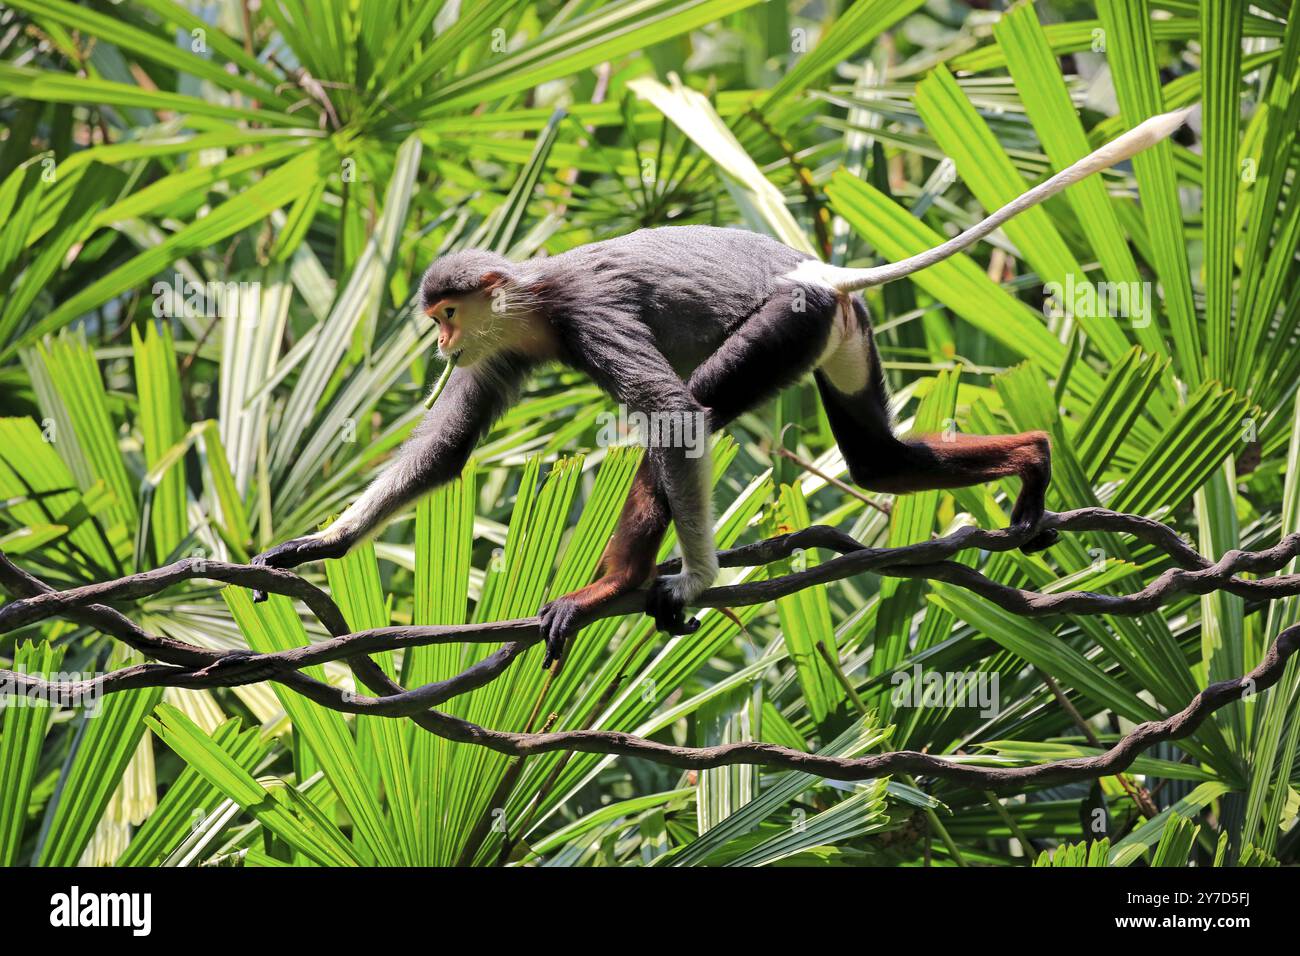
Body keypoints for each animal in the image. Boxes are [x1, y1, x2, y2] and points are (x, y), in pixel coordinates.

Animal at [248, 104, 1190, 671]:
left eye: (445, 313)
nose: (441, 341)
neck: (537, 304)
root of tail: (820, 271)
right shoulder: (510, 349)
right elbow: (448, 448)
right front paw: (322, 543)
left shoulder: (588, 316)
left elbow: (672, 415)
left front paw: (698, 581)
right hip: (841, 336)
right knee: (877, 460)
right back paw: (1031, 459)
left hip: (786, 329)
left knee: (682, 423)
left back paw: (615, 589)